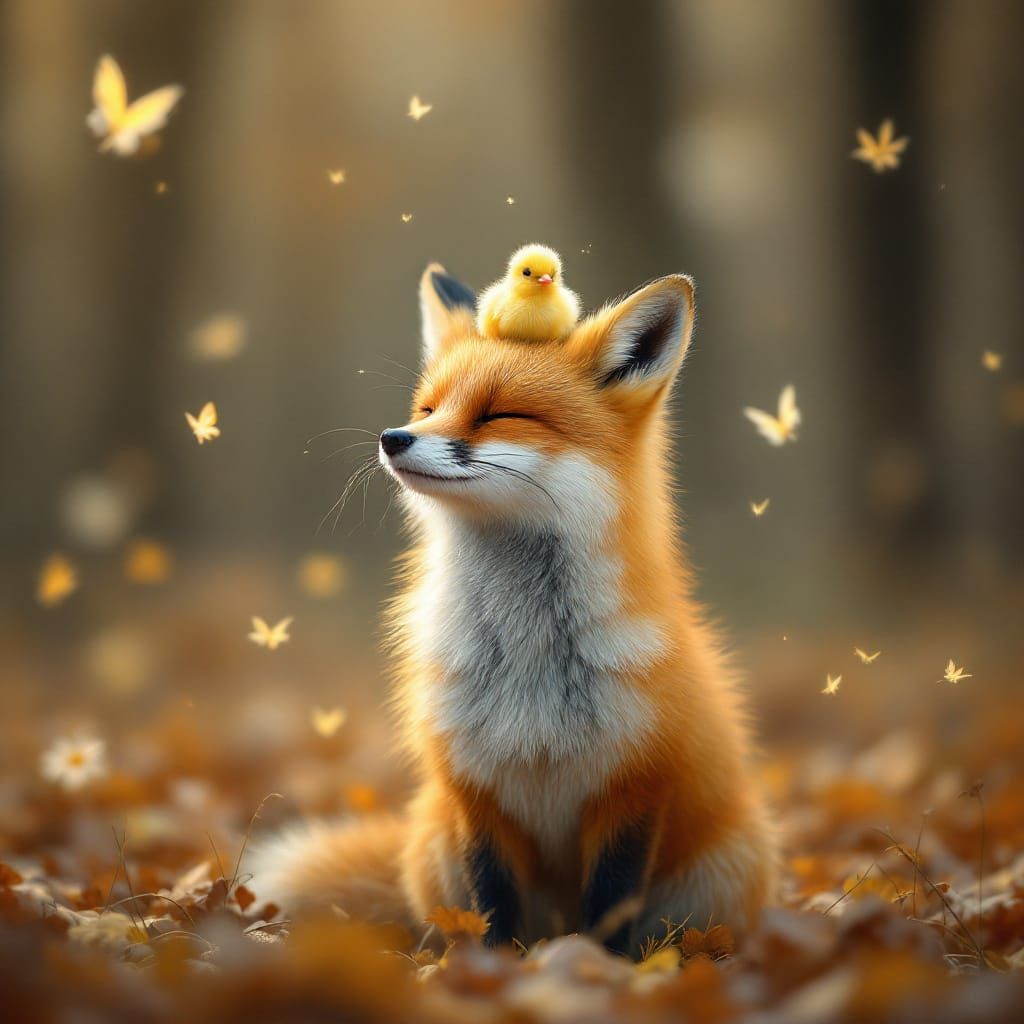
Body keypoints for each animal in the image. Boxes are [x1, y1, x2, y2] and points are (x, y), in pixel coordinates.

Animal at [251, 260, 777, 955]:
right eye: (427, 408)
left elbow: (610, 908)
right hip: (434, 841)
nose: (393, 438)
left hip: (722, 873)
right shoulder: (475, 790)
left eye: (500, 414)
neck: (531, 666)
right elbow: (493, 908)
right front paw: (495, 971)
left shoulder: (634, 789)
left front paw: (600, 969)